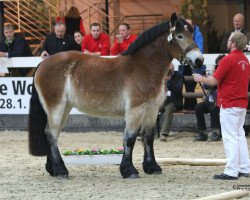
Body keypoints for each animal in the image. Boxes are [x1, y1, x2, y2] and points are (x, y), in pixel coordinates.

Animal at [28, 13, 204, 179]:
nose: (199, 60)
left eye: (192, 33)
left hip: (64, 108)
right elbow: (130, 138)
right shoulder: (135, 110)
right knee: (51, 134)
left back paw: (53, 169)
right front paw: (129, 170)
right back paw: (60, 170)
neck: (143, 67)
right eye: (179, 35)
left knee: (53, 134)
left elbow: (148, 137)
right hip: (56, 107)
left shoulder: (152, 111)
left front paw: (152, 167)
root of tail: (43, 63)